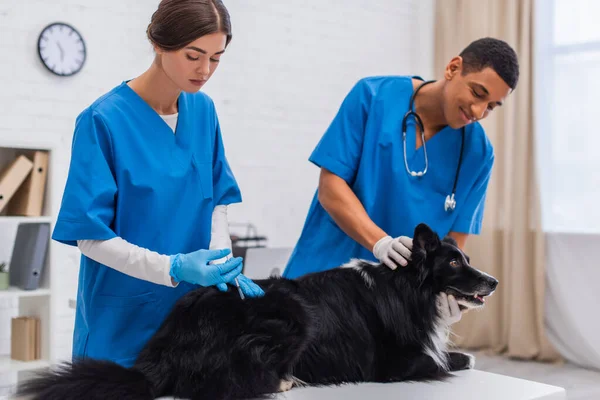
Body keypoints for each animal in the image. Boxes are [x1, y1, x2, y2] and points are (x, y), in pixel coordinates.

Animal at [17, 223, 496, 398]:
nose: (492, 282)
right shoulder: (393, 365)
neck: (406, 287)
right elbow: (441, 358)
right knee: (224, 384)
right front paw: (461, 357)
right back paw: (285, 379)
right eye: (455, 264)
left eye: (467, 259)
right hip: (292, 314)